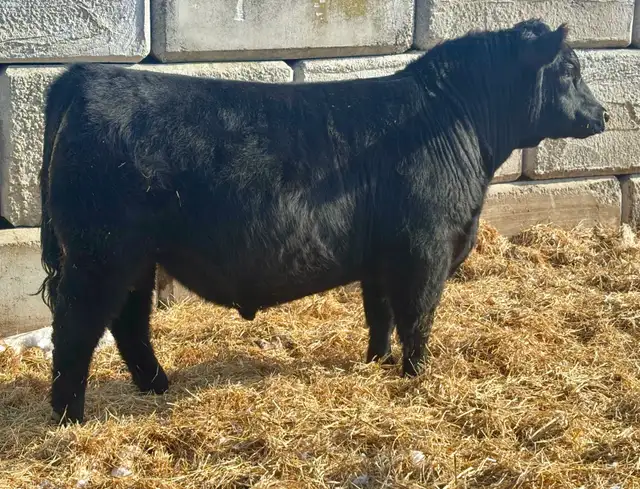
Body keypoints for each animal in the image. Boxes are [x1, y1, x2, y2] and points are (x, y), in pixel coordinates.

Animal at [38, 18, 608, 424]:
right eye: (569, 70)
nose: (602, 115)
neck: (454, 121)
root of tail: (86, 76)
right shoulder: (426, 250)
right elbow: (417, 318)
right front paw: (416, 377)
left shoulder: (382, 256)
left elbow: (380, 315)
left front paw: (377, 363)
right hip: (100, 254)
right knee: (77, 329)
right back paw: (70, 418)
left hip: (135, 257)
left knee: (129, 322)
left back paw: (157, 386)